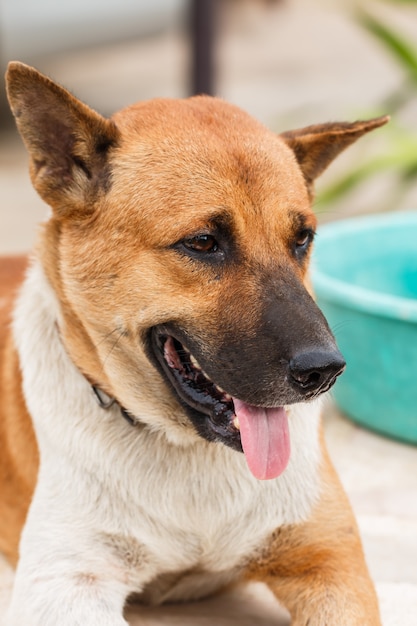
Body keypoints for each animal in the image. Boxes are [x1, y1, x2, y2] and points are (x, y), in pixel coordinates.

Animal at [0, 59, 388, 624]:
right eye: (203, 243)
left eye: (303, 239)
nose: (324, 371)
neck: (187, 450)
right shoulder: (66, 585)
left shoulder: (329, 559)